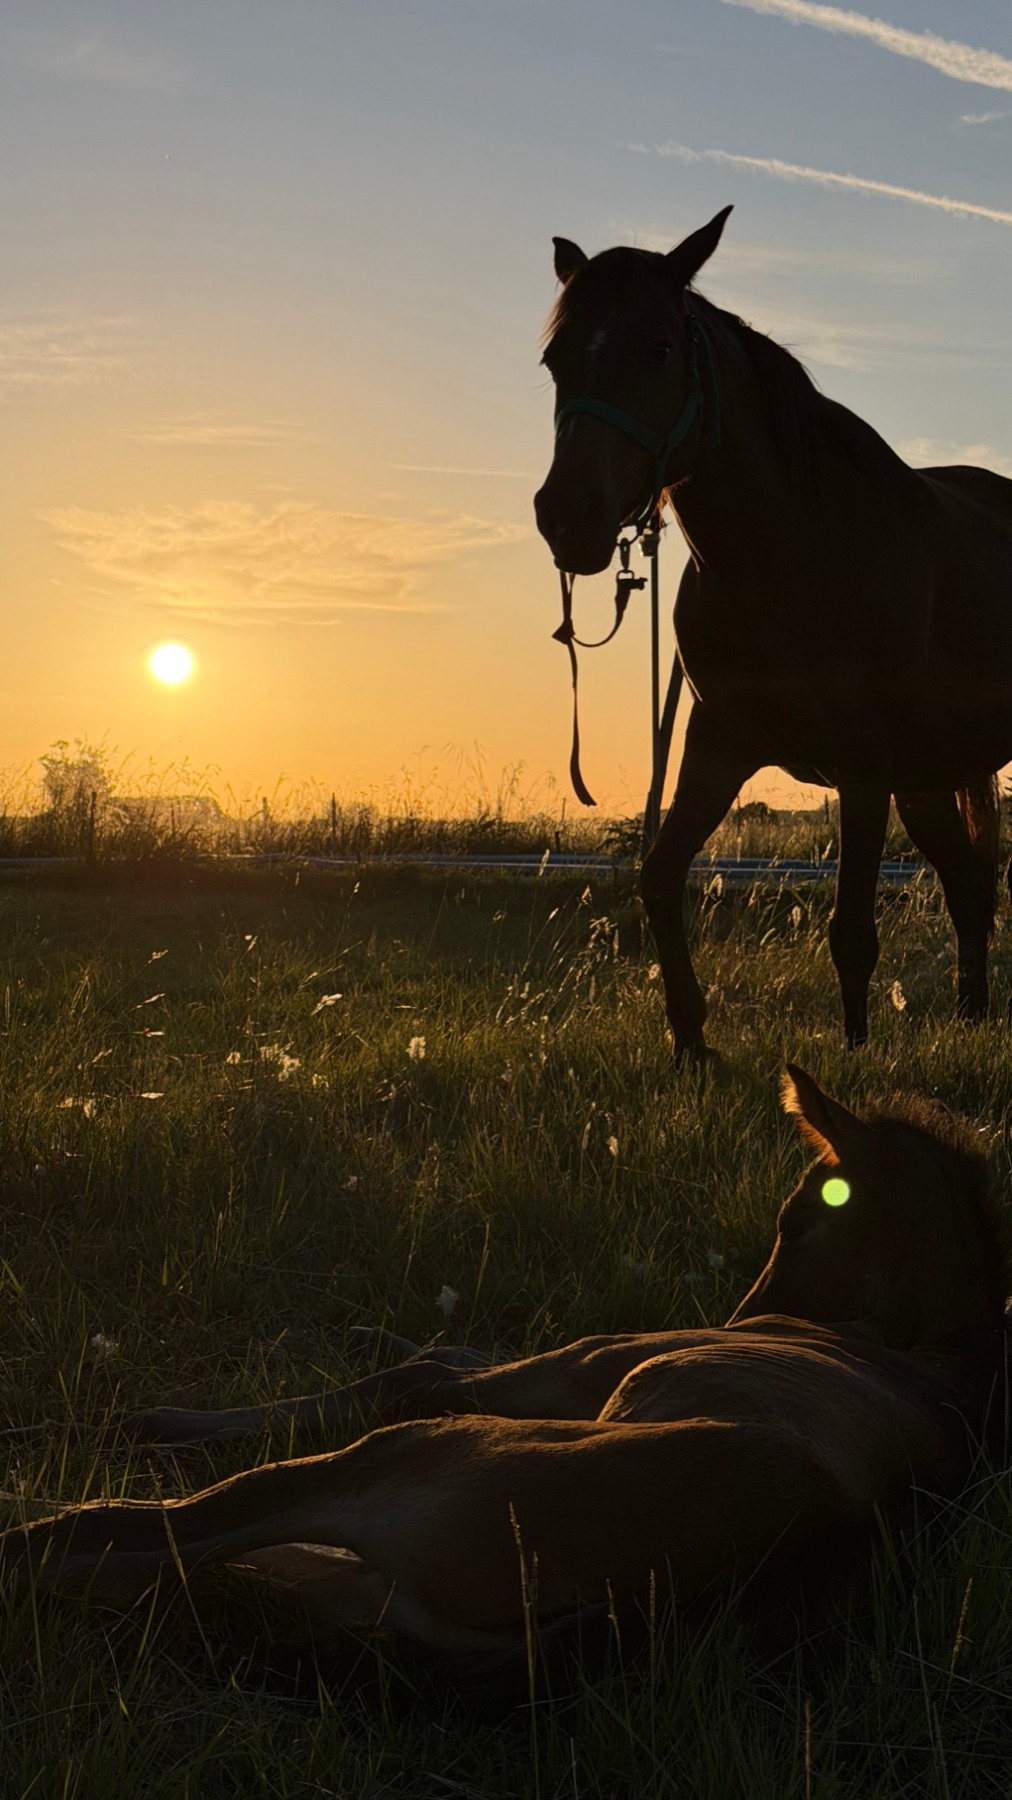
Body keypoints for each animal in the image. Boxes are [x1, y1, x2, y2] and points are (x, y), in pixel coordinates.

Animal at [3, 1068, 1007, 1685]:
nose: (742, 1318)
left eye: (795, 1222)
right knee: (157, 1571)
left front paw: (148, 1423)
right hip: (349, 1581)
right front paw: (366, 1331)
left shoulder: (578, 1367)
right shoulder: (572, 1367)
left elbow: (416, 1373)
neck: (924, 1346)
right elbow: (443, 1352)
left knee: (129, 1532)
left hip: (399, 1464)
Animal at [533, 209, 1012, 1058]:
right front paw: (690, 1041)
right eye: (556, 358)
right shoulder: (717, 742)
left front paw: (853, 1065)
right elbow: (660, 876)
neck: (790, 554)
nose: (568, 518)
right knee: (967, 886)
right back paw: (969, 1018)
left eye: (659, 348)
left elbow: (852, 931)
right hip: (928, 778)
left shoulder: (863, 765)